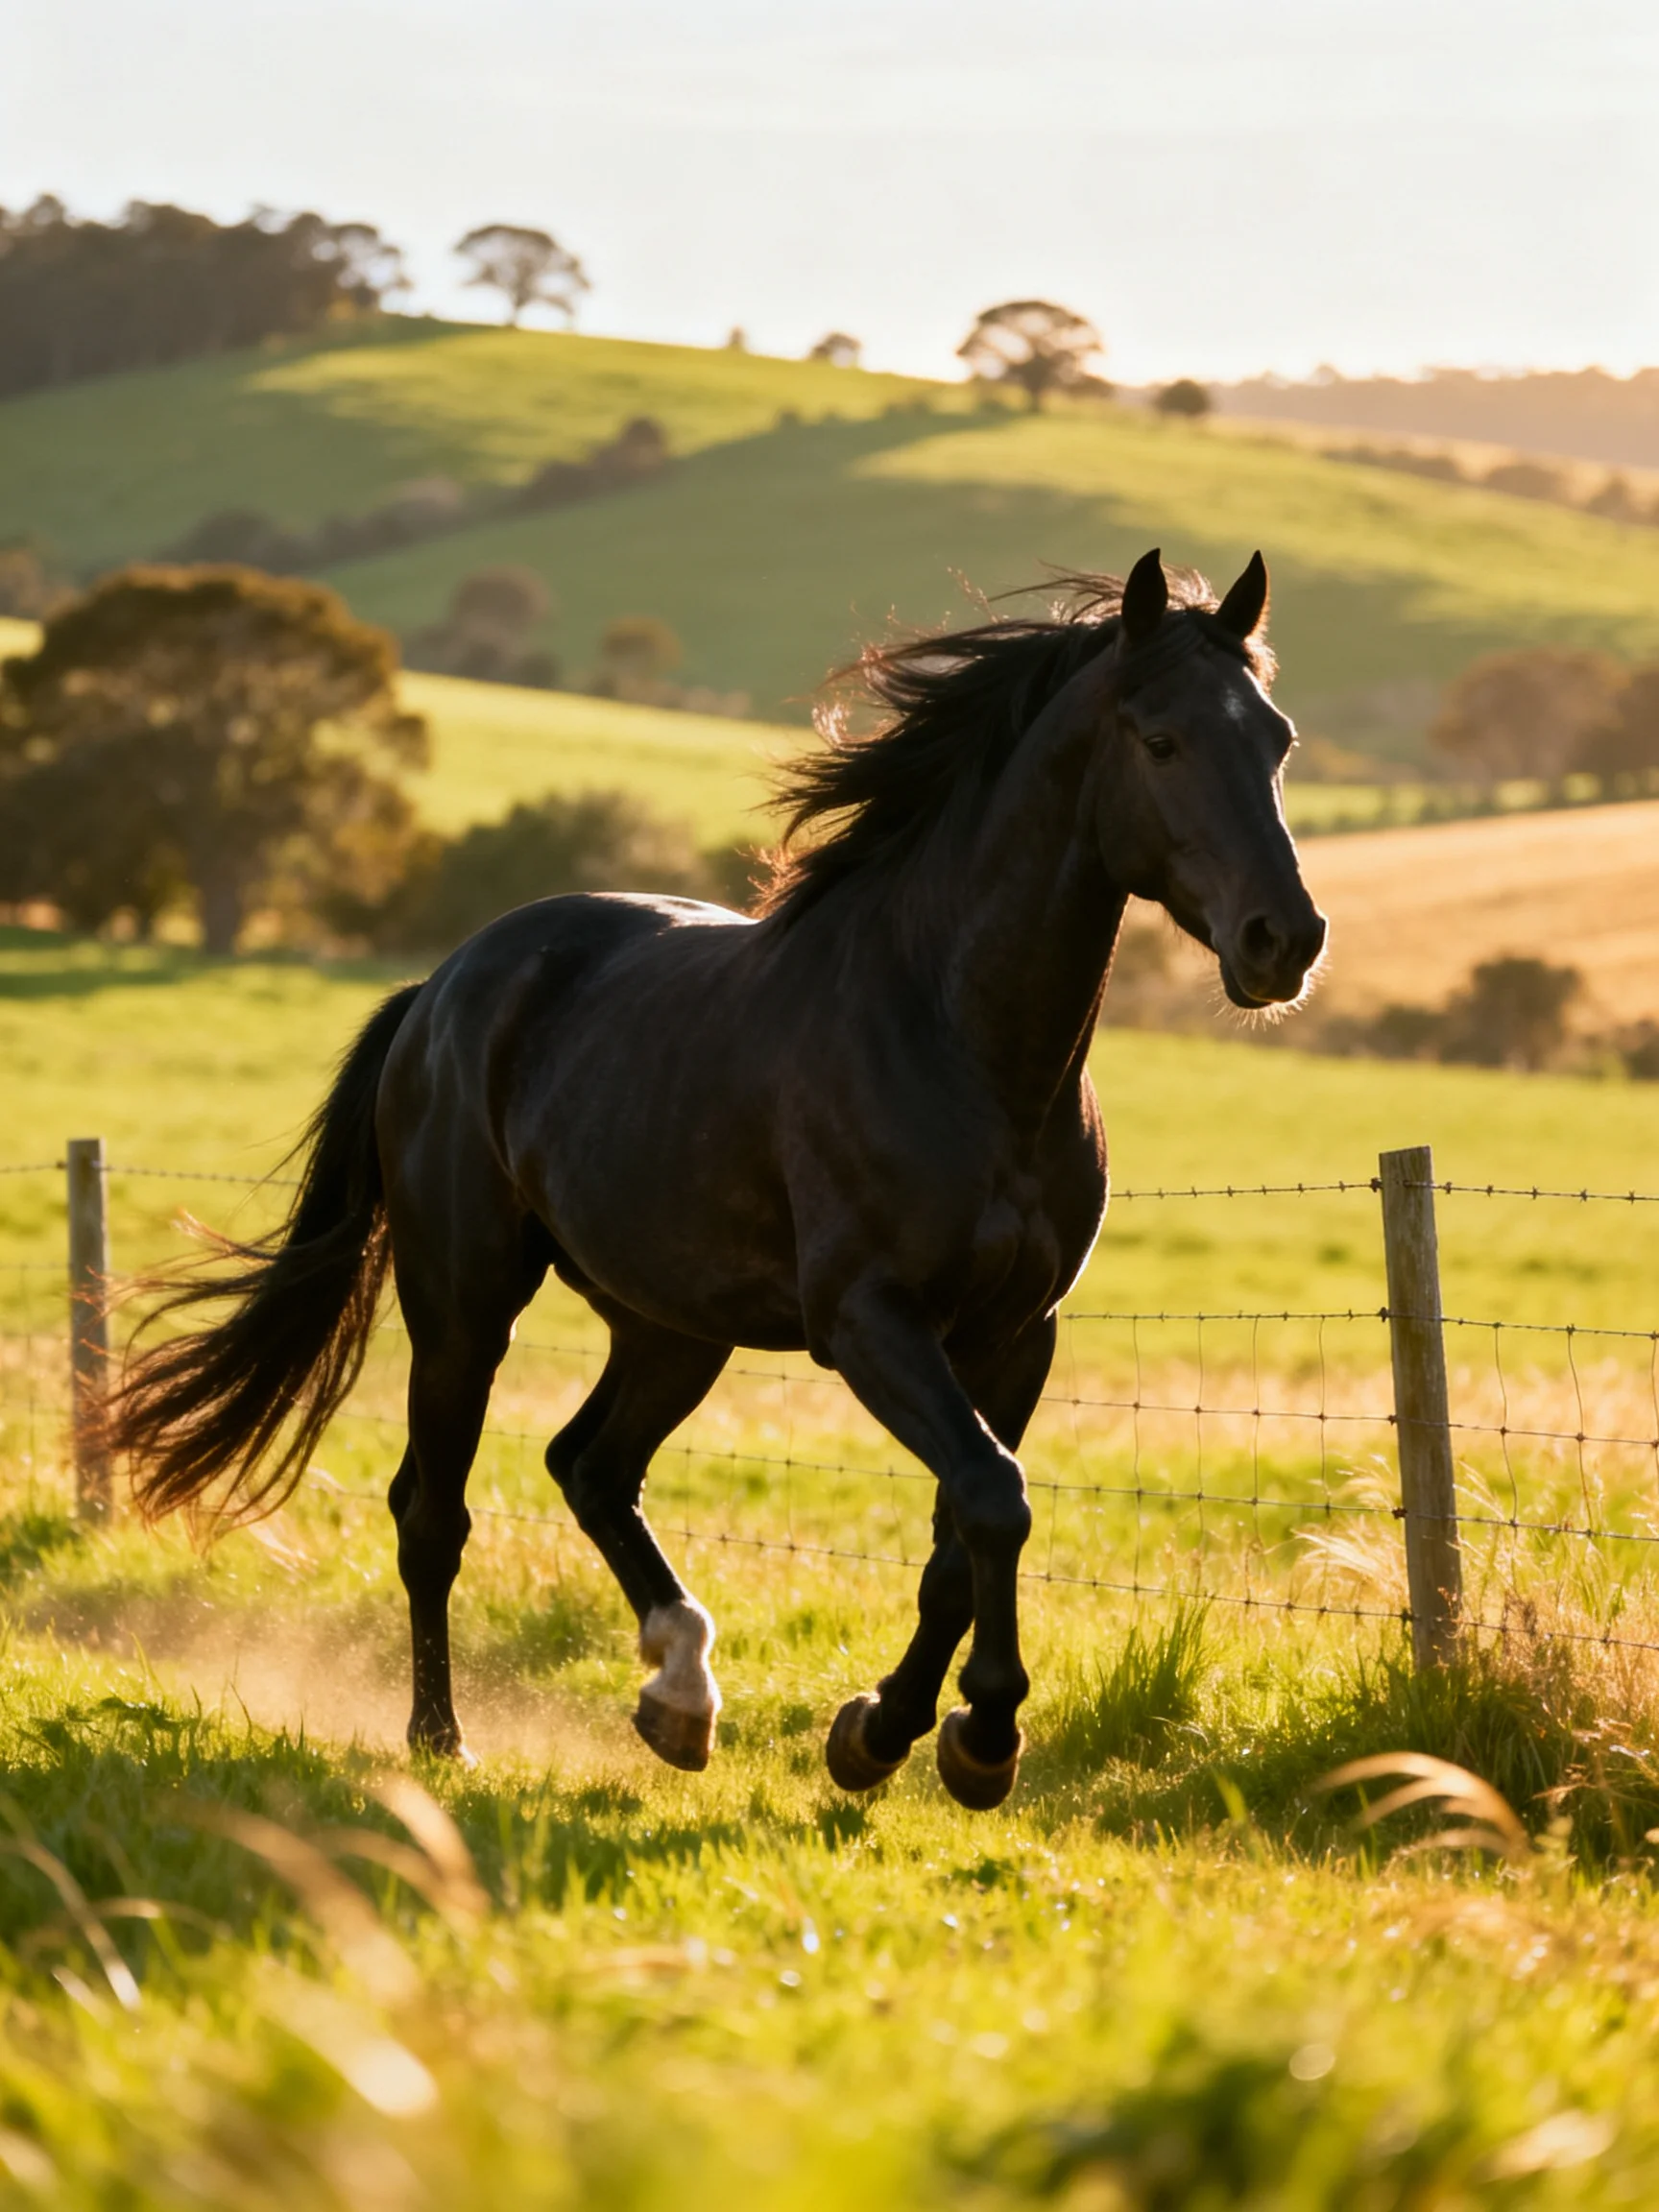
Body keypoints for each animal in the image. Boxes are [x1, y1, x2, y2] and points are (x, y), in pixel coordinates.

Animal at [108, 548, 1326, 1810]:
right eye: (1160, 739)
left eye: (1276, 738)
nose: (1284, 940)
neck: (961, 1041)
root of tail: (440, 988)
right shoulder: (868, 1320)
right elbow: (992, 1498)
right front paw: (972, 1738)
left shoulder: (1014, 1334)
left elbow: (966, 1526)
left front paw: (887, 1734)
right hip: (464, 1304)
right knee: (431, 1511)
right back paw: (443, 1740)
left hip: (672, 1326)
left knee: (592, 1467)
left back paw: (680, 1695)